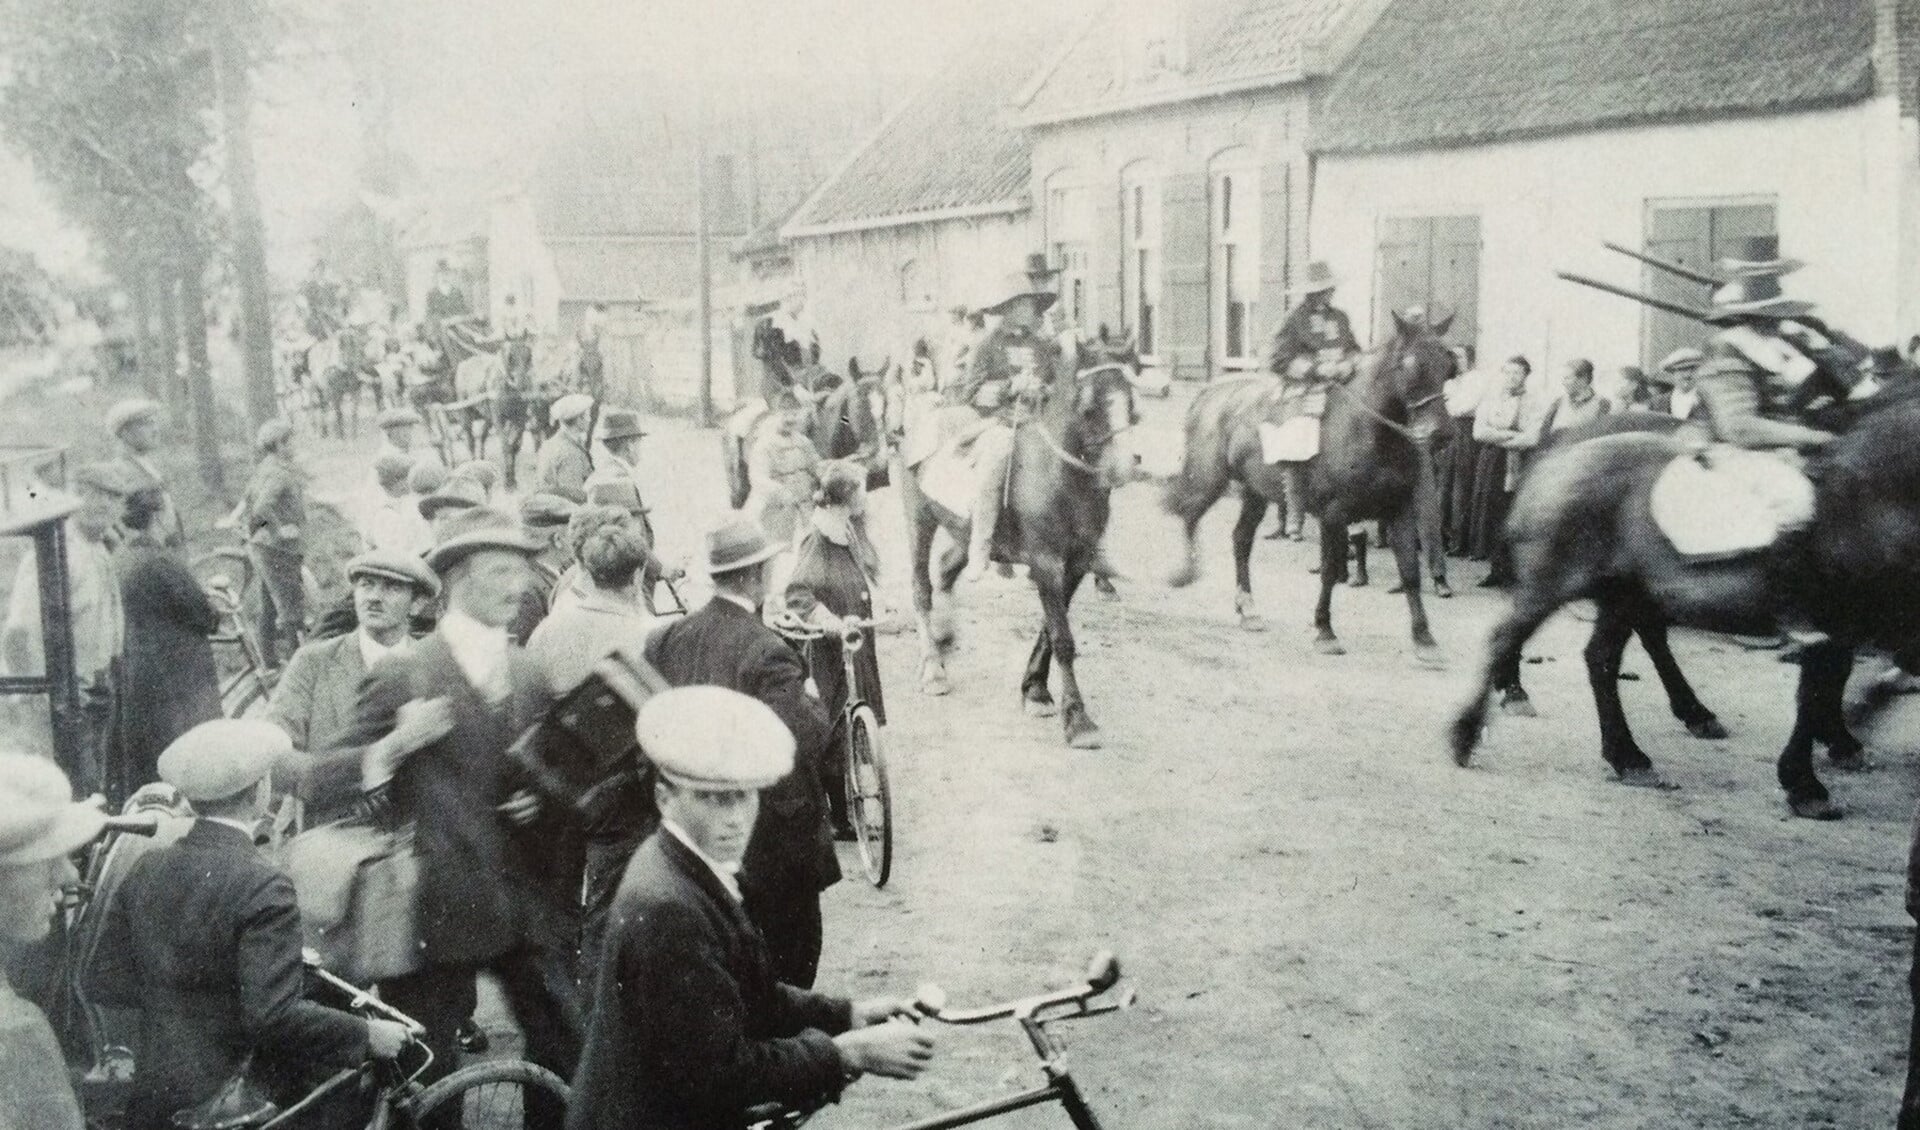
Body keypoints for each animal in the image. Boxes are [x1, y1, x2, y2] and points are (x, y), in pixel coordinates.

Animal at [898, 362, 1136, 748]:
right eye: (1089, 409)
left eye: (1132, 405)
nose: (1126, 465)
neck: (1058, 476)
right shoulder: (1046, 563)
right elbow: (1062, 638)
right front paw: (1078, 720)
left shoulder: (1075, 564)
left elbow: (1049, 629)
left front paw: (1035, 690)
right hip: (919, 521)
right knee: (922, 588)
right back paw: (933, 668)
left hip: (967, 532)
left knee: (946, 570)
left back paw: (943, 636)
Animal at [1159, 308, 1459, 659]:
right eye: (1410, 365)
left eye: (1449, 365)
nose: (1442, 433)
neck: (1368, 429)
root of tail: (1210, 392)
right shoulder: (1333, 514)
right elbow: (1329, 570)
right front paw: (1325, 629)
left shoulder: (1399, 510)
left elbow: (1410, 571)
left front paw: (1424, 638)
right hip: (1209, 478)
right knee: (1190, 513)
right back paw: (1185, 573)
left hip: (1254, 492)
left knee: (1241, 539)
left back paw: (1248, 609)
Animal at [1443, 381, 1920, 821]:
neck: (1868, 495)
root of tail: (1559, 454)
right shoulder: (1834, 623)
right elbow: (1821, 690)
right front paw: (1810, 779)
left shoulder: (1854, 626)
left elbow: (1837, 685)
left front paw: (1837, 744)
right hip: (1555, 583)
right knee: (1508, 637)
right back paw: (1470, 731)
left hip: (1624, 595)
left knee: (1603, 657)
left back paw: (1631, 755)